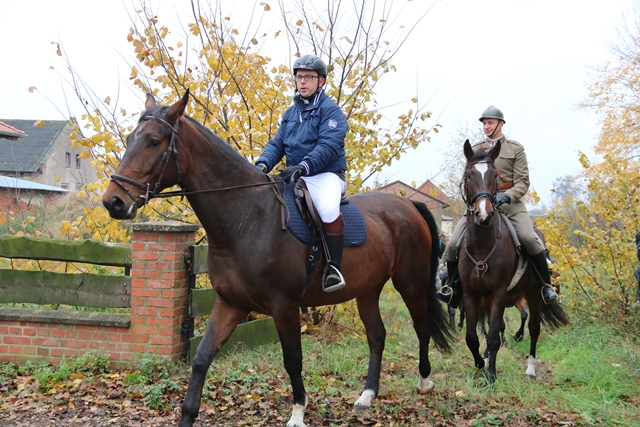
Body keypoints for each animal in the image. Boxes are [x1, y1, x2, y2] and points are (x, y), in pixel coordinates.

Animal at [102, 92, 453, 427]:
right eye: (131, 138)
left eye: (153, 141)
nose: (113, 202)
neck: (248, 217)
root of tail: (408, 206)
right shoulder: (230, 303)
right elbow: (202, 357)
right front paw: (187, 416)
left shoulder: (284, 306)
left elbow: (292, 360)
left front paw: (297, 413)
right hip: (368, 289)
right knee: (377, 335)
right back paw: (367, 396)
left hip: (410, 283)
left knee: (421, 326)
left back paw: (424, 382)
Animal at [458, 139, 569, 385]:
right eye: (469, 175)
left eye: (495, 177)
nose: (483, 215)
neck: (482, 246)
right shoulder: (471, 294)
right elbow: (472, 337)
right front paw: (481, 363)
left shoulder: (498, 293)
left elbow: (493, 337)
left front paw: (491, 376)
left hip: (534, 293)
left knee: (534, 328)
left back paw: (531, 368)